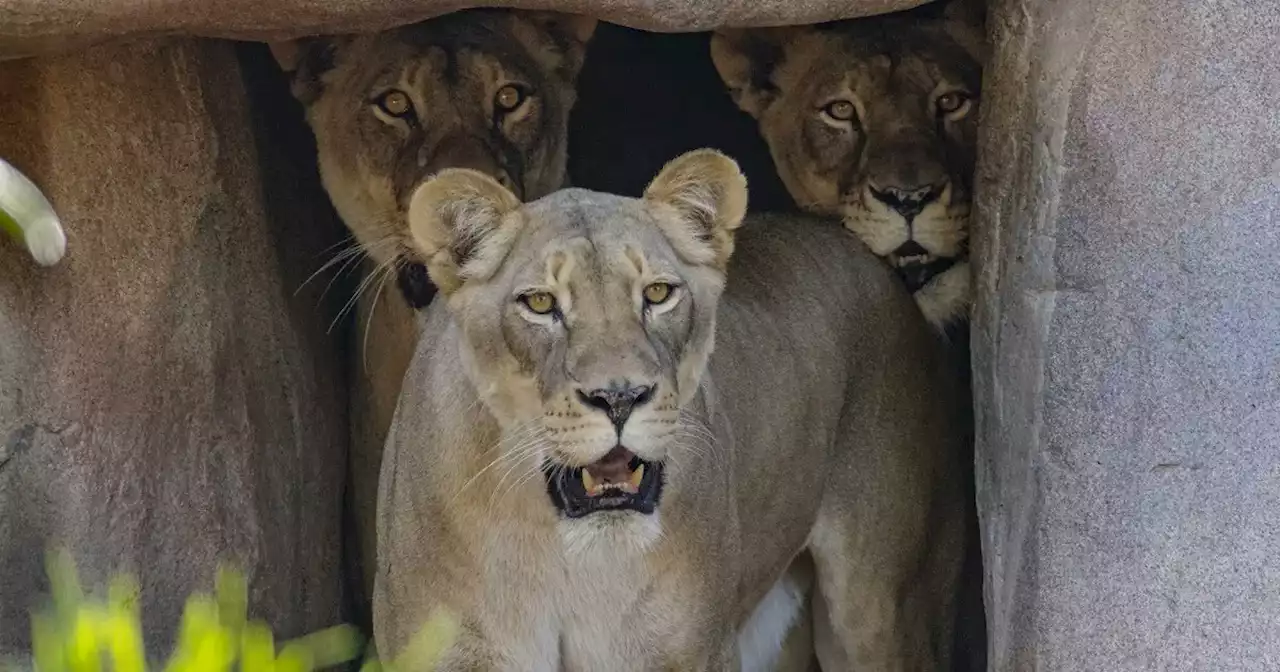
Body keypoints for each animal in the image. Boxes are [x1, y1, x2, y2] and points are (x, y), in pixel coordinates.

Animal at [373, 149, 962, 665]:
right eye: (539, 303)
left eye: (657, 294)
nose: (619, 397)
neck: (566, 559)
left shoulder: (686, 650)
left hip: (880, 607)